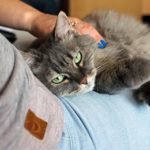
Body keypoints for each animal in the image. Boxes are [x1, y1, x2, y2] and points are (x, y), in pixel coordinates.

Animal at [21, 10, 150, 104]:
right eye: (58, 79)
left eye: (78, 58)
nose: (84, 81)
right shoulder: (105, 80)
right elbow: (109, 81)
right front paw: (144, 68)